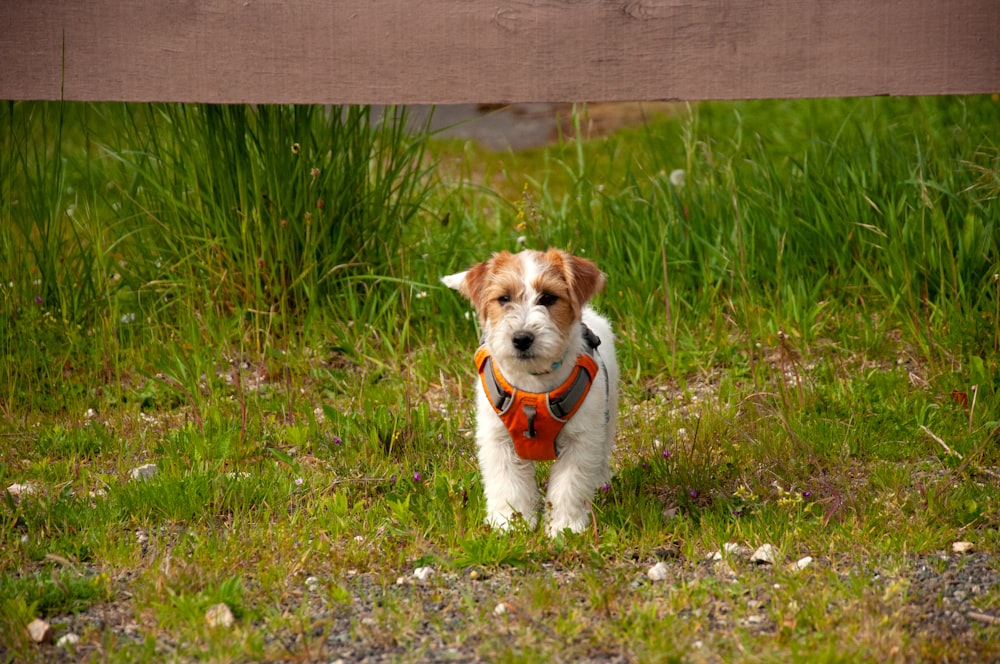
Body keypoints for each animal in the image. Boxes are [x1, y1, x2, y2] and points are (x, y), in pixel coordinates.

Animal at [444, 248, 616, 536]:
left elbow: (569, 486)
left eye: (548, 297)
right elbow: (508, 485)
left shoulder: (580, 440)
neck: (534, 385)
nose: (522, 338)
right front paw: (510, 522)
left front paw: (564, 526)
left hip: (607, 417)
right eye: (504, 298)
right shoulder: (499, 440)